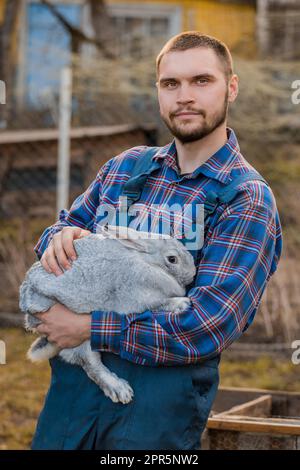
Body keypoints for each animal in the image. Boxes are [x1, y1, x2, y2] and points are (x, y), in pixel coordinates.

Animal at [19, 224, 197, 404]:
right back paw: (120, 390)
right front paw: (182, 303)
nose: (193, 273)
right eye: (172, 259)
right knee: (91, 364)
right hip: (79, 340)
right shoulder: (139, 300)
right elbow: (159, 305)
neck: (146, 261)